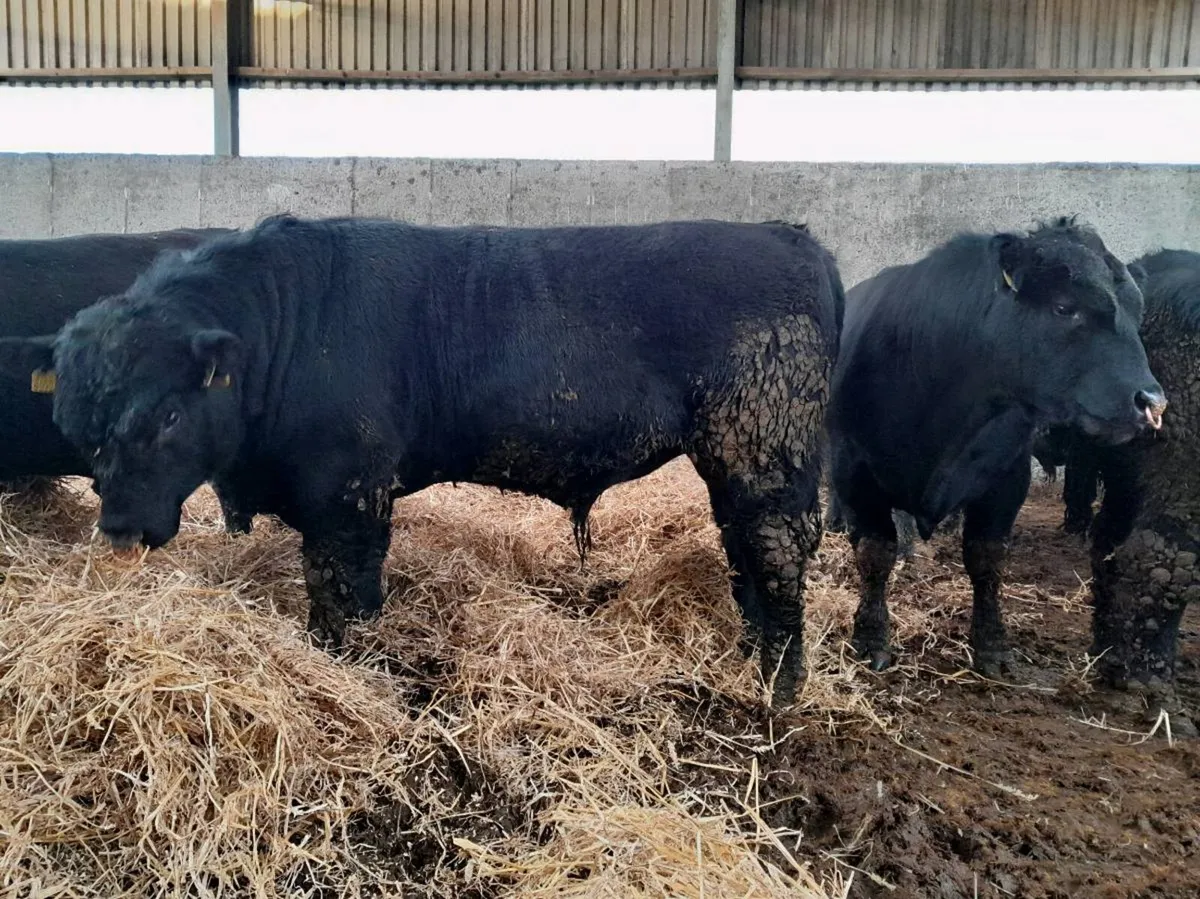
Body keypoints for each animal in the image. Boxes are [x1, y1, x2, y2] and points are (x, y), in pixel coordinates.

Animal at [828, 217, 1165, 678]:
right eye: (1065, 307)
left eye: (1137, 312)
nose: (1152, 403)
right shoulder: (856, 471)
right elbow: (875, 554)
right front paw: (871, 639)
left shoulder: (1006, 478)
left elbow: (986, 560)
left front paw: (992, 647)